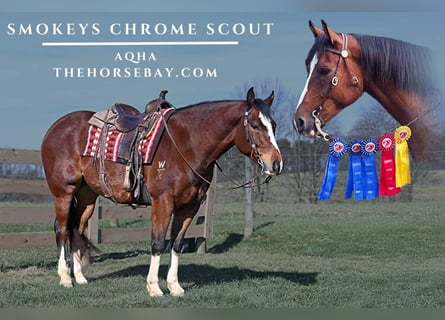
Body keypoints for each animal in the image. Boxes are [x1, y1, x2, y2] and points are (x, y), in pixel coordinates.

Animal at [40, 88, 280, 298]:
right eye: (255, 125)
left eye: (274, 125)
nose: (276, 164)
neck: (187, 144)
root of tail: (55, 128)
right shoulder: (162, 202)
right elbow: (157, 242)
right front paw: (154, 288)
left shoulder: (189, 206)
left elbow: (176, 244)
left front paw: (175, 286)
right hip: (63, 192)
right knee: (61, 229)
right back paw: (65, 278)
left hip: (87, 196)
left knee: (76, 228)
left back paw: (79, 277)